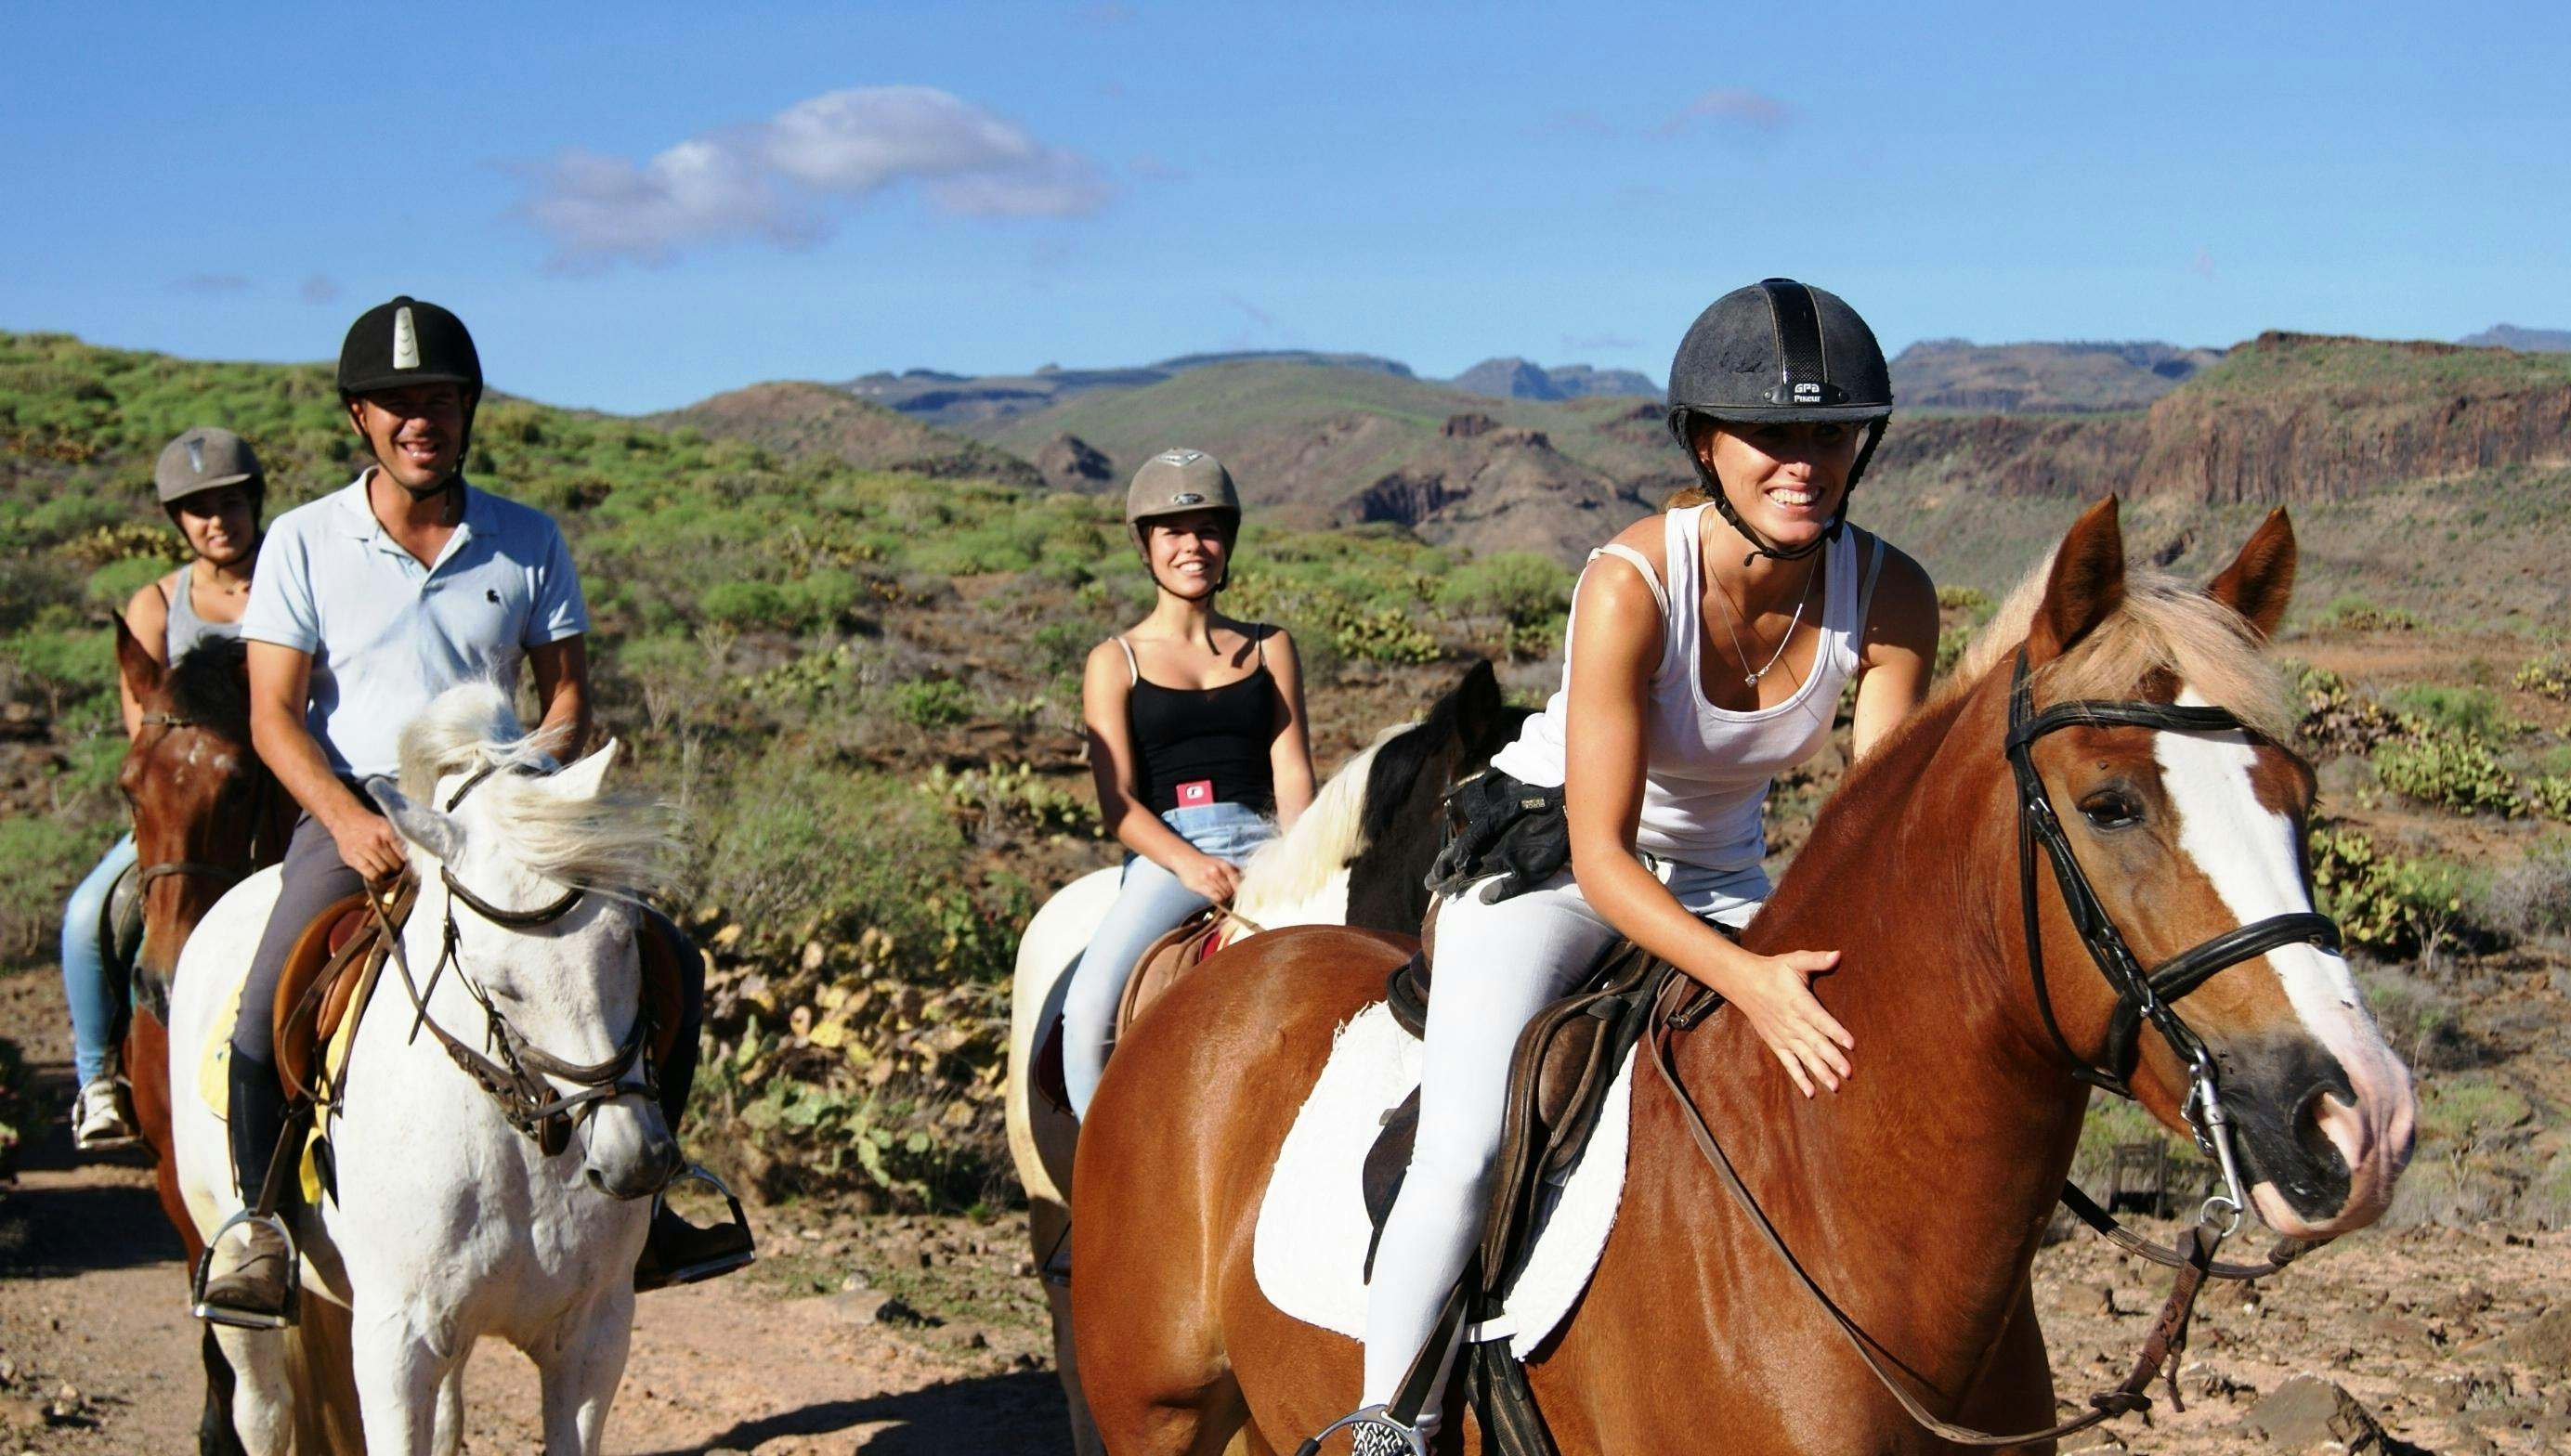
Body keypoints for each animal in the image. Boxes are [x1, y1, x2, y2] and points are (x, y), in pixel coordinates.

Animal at [169, 689, 694, 1456]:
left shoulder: (593, 1338)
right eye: (500, 982)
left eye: (627, 939)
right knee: (262, 1409)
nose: (636, 1163)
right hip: (226, 1243)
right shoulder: (397, 1347)